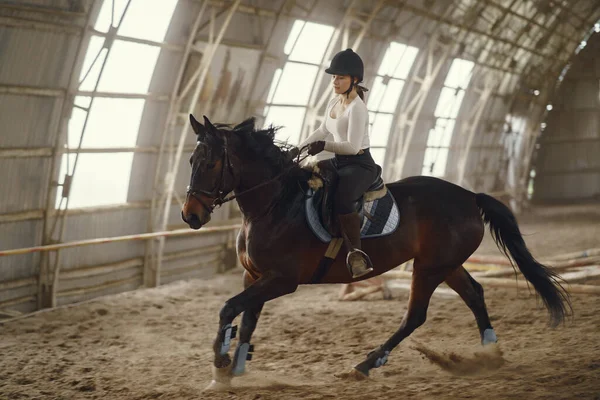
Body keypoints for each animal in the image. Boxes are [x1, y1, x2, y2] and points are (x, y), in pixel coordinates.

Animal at [182, 114, 572, 390]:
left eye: (210, 163)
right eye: (190, 161)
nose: (190, 216)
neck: (274, 205)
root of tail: (469, 196)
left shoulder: (282, 279)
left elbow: (228, 308)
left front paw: (221, 364)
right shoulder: (255, 276)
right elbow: (246, 318)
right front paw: (233, 368)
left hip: (428, 268)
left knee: (415, 316)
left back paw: (365, 365)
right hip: (444, 263)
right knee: (474, 294)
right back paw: (490, 353)